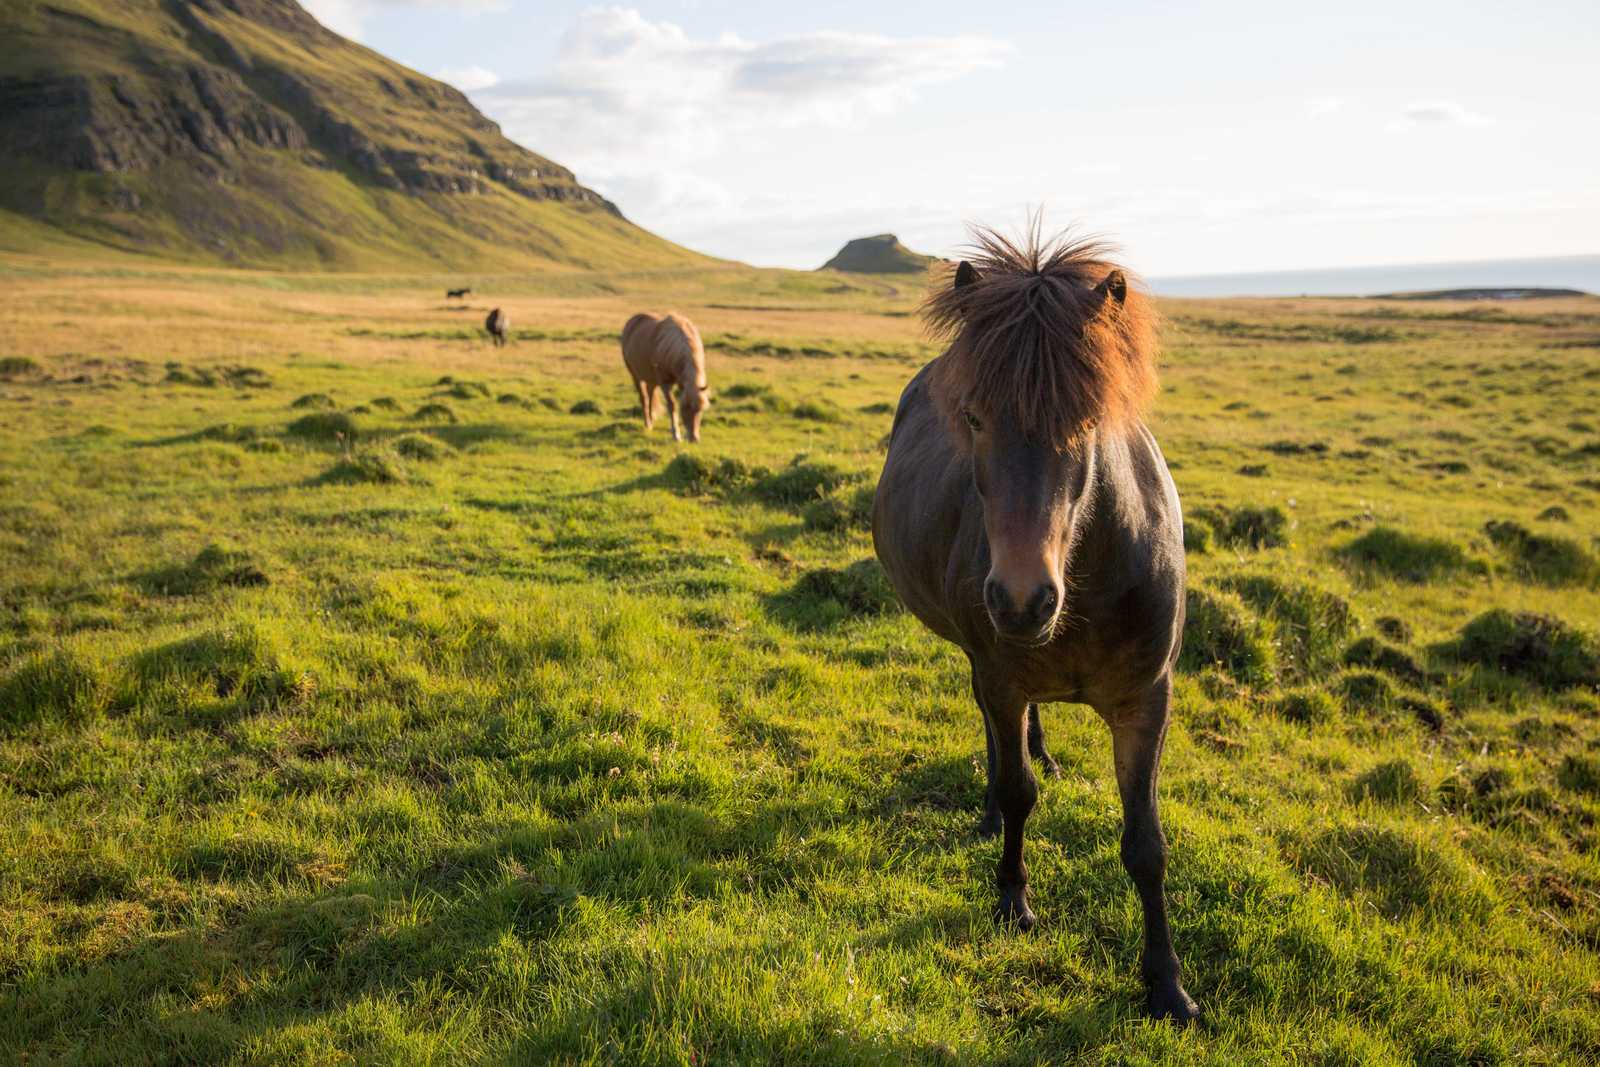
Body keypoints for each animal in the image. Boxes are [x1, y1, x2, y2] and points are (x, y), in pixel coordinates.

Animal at [620, 312, 709, 443]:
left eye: (700, 410)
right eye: (684, 408)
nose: (694, 438)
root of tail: (632, 321)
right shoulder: (665, 383)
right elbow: (672, 405)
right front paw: (676, 435)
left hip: (651, 379)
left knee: (650, 395)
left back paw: (651, 419)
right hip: (635, 375)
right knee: (644, 398)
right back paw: (648, 424)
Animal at [871, 224, 1197, 1023]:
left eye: (1087, 421)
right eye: (975, 419)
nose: (1023, 600)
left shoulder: (1147, 701)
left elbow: (1146, 844)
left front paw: (1166, 983)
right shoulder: (1001, 673)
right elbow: (1021, 792)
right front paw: (1012, 899)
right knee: (993, 729)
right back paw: (992, 800)